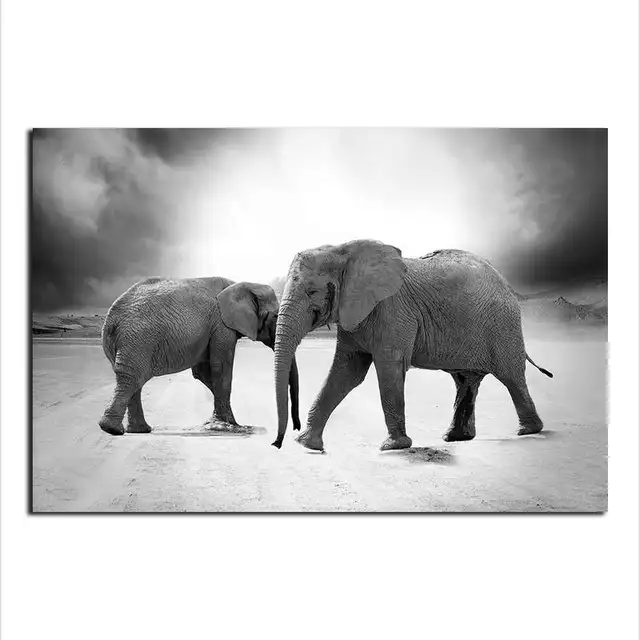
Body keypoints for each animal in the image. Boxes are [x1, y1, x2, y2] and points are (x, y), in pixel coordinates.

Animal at [98, 277, 301, 436]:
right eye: (275, 317)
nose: (296, 429)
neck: (241, 284)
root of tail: (111, 320)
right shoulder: (221, 325)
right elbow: (220, 368)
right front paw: (227, 426)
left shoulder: (212, 330)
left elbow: (203, 372)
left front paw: (229, 423)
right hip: (138, 340)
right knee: (132, 379)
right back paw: (112, 429)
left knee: (133, 381)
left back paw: (138, 430)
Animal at [271, 239, 552, 451]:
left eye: (312, 292)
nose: (277, 443)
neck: (343, 251)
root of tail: (506, 284)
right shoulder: (355, 314)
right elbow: (346, 372)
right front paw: (307, 444)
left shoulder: (393, 311)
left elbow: (389, 368)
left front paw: (394, 446)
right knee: (466, 381)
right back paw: (456, 438)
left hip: (503, 325)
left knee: (511, 376)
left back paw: (528, 430)